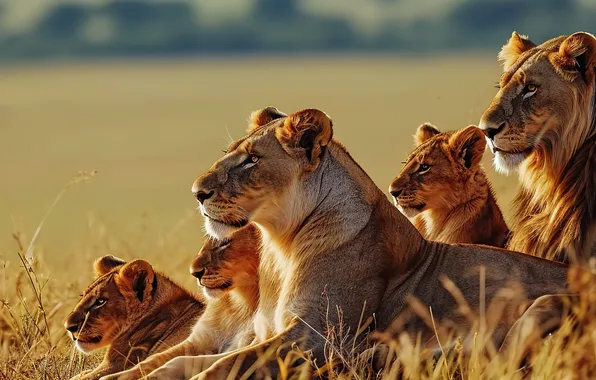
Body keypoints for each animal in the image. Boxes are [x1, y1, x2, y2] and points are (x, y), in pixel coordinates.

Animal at [102, 224, 258, 380]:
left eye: (225, 241)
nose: (195, 273)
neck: (239, 303)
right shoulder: (198, 341)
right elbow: (157, 359)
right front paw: (115, 376)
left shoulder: (251, 344)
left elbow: (225, 362)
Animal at [189, 106, 572, 378]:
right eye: (230, 152)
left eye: (252, 159)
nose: (197, 192)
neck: (282, 246)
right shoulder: (263, 330)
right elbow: (192, 359)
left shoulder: (320, 335)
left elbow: (225, 367)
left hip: (543, 307)